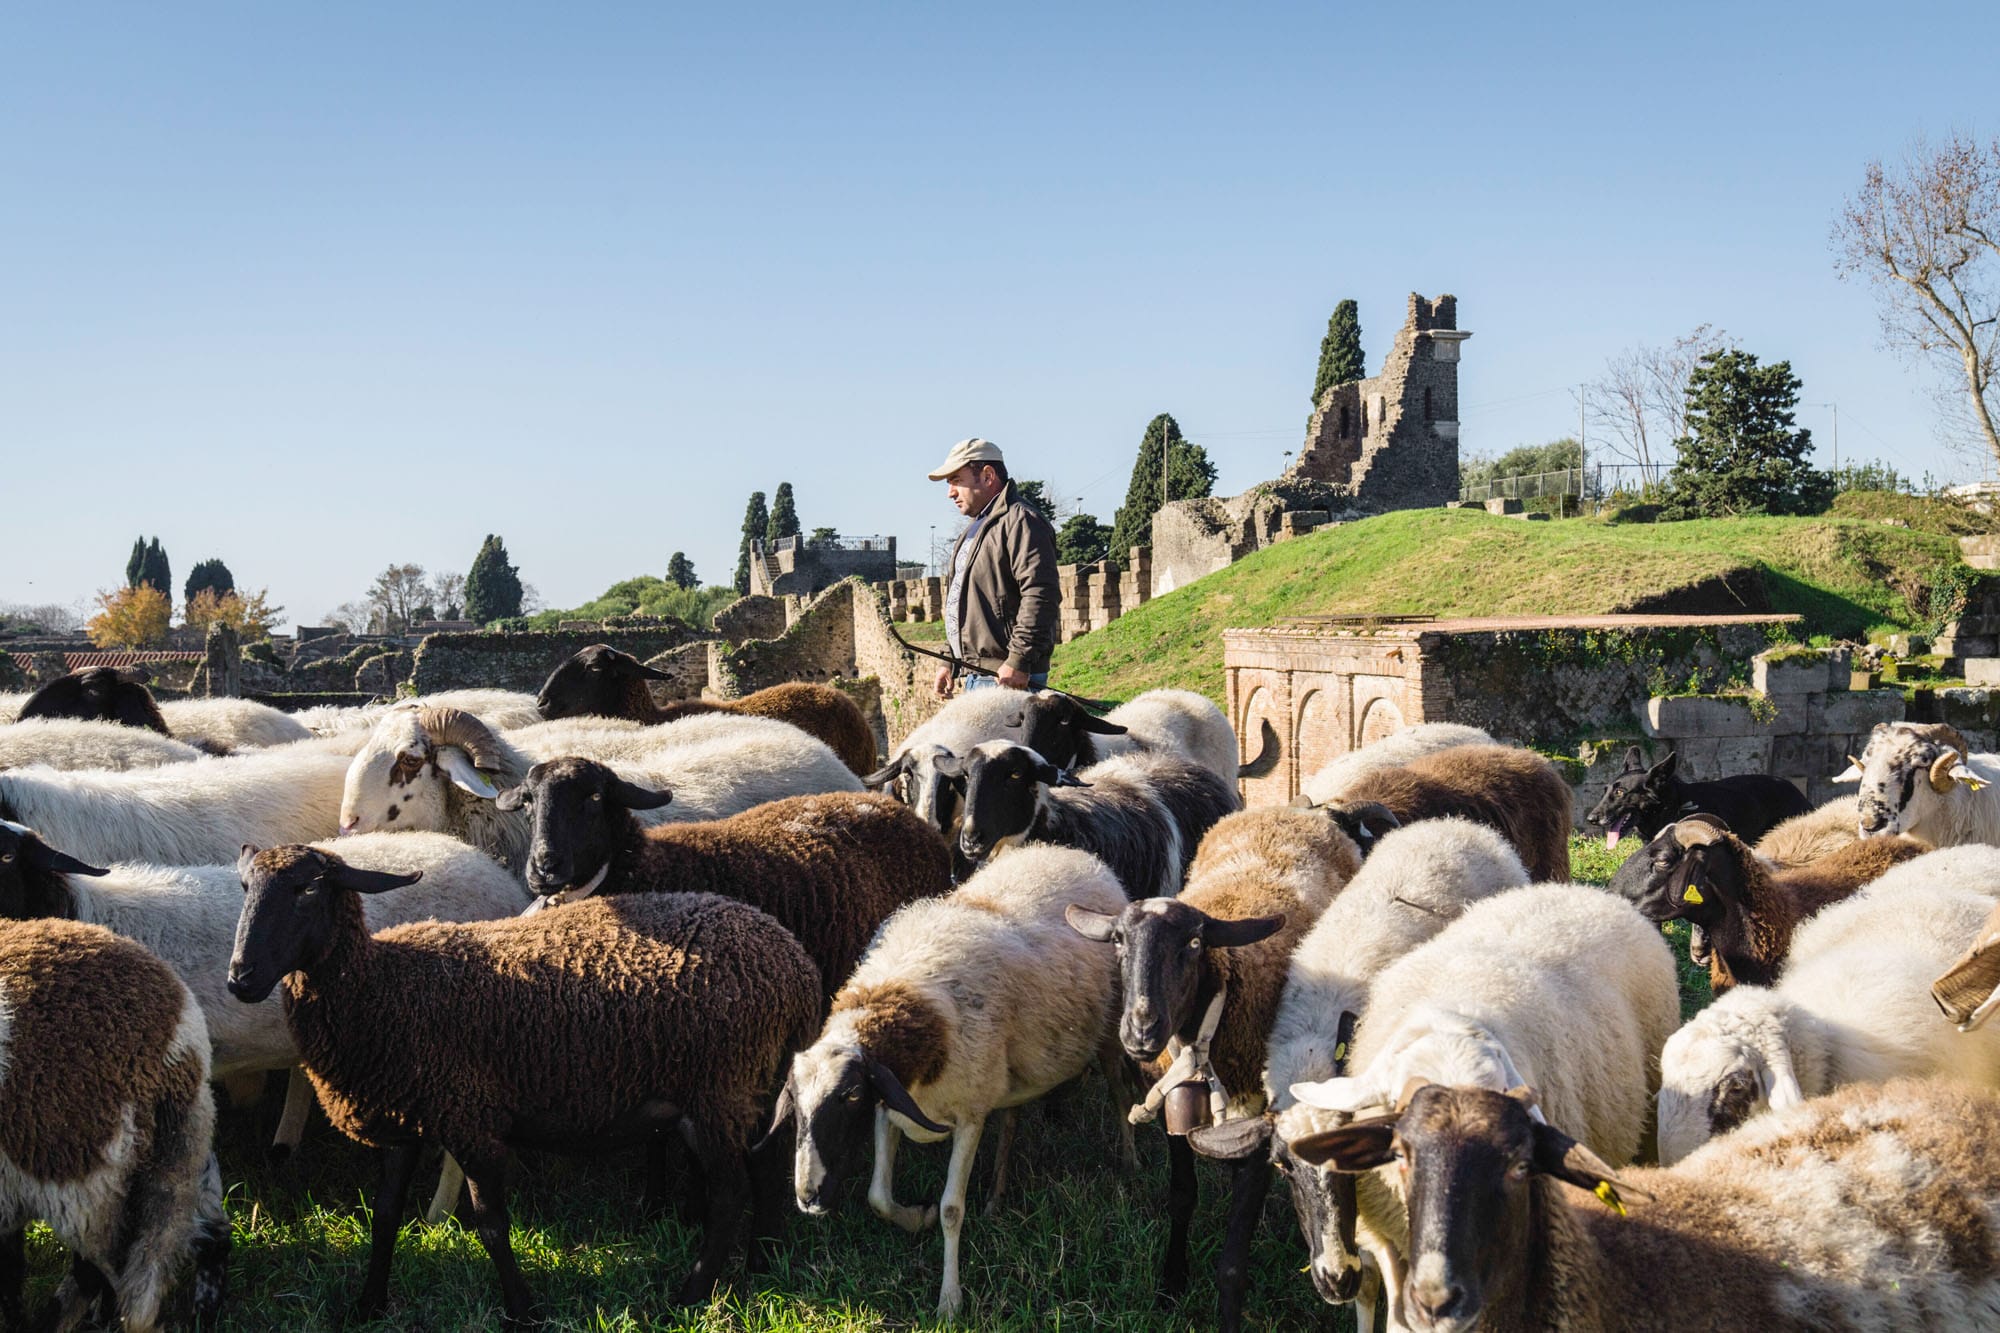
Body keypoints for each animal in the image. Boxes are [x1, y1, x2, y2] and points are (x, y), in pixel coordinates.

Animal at [232, 840, 820, 1320]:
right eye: (245, 888)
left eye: (308, 888)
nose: (240, 977)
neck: (385, 984)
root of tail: (795, 963)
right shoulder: (404, 1120)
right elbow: (384, 1215)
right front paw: (368, 1304)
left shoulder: (469, 1120)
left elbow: (492, 1226)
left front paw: (522, 1308)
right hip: (746, 1088)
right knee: (765, 1165)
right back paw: (763, 1260)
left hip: (721, 1089)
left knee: (729, 1194)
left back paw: (690, 1294)